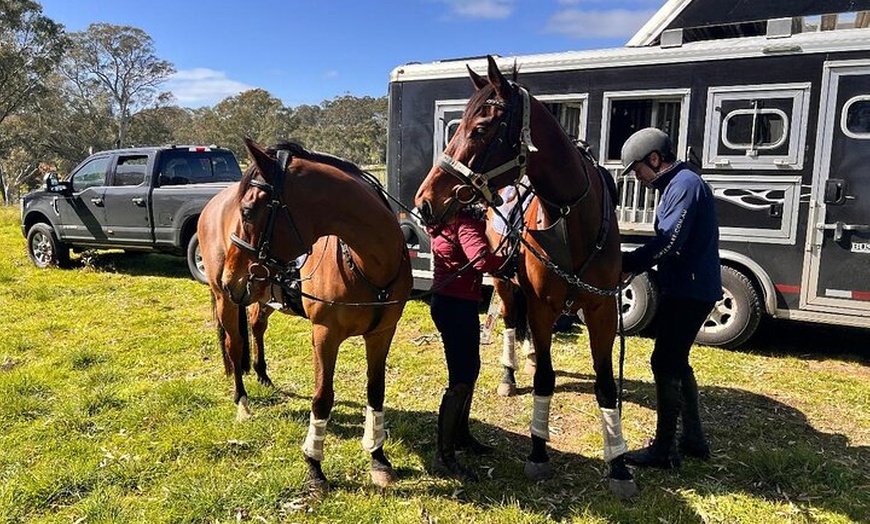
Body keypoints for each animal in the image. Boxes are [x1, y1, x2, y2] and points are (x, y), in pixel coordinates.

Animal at [197, 138, 413, 491]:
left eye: (248, 211)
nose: (232, 278)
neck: (368, 264)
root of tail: (210, 205)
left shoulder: (382, 334)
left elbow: (376, 391)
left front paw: (378, 457)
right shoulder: (325, 335)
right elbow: (322, 397)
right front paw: (314, 465)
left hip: (257, 292)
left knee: (256, 327)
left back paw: (262, 373)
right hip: (226, 299)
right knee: (234, 345)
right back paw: (242, 403)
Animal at [414, 56, 638, 497]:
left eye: (479, 129)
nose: (426, 200)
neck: (570, 218)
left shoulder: (602, 309)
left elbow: (606, 385)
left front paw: (618, 464)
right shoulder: (541, 304)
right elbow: (546, 380)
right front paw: (538, 450)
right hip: (506, 287)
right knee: (510, 326)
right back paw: (510, 374)